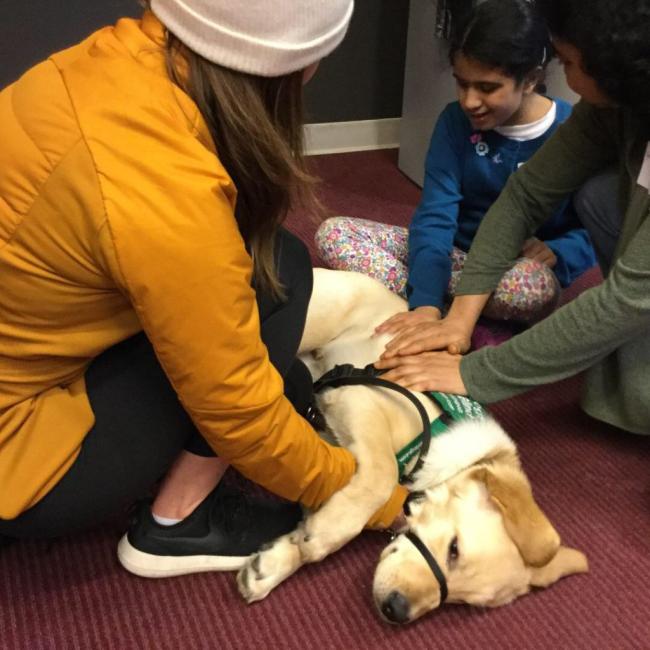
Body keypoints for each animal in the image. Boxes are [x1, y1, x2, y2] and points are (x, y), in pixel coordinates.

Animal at [238, 266, 588, 620]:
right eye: (454, 549)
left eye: (461, 602)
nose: (396, 610)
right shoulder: (358, 398)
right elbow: (382, 473)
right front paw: (325, 533)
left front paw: (275, 562)